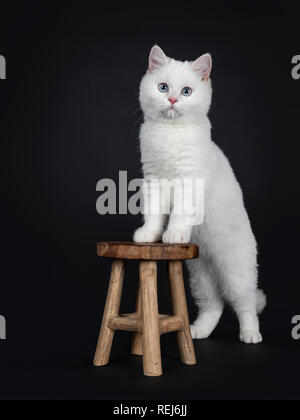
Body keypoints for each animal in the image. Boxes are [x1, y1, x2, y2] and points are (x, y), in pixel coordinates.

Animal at [135, 45, 266, 344]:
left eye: (186, 91)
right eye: (162, 87)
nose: (172, 99)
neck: (170, 133)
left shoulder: (188, 182)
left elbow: (178, 215)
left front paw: (173, 235)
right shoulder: (153, 180)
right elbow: (154, 214)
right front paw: (149, 234)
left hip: (235, 269)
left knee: (244, 303)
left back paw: (250, 334)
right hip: (200, 276)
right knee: (214, 305)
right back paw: (197, 332)